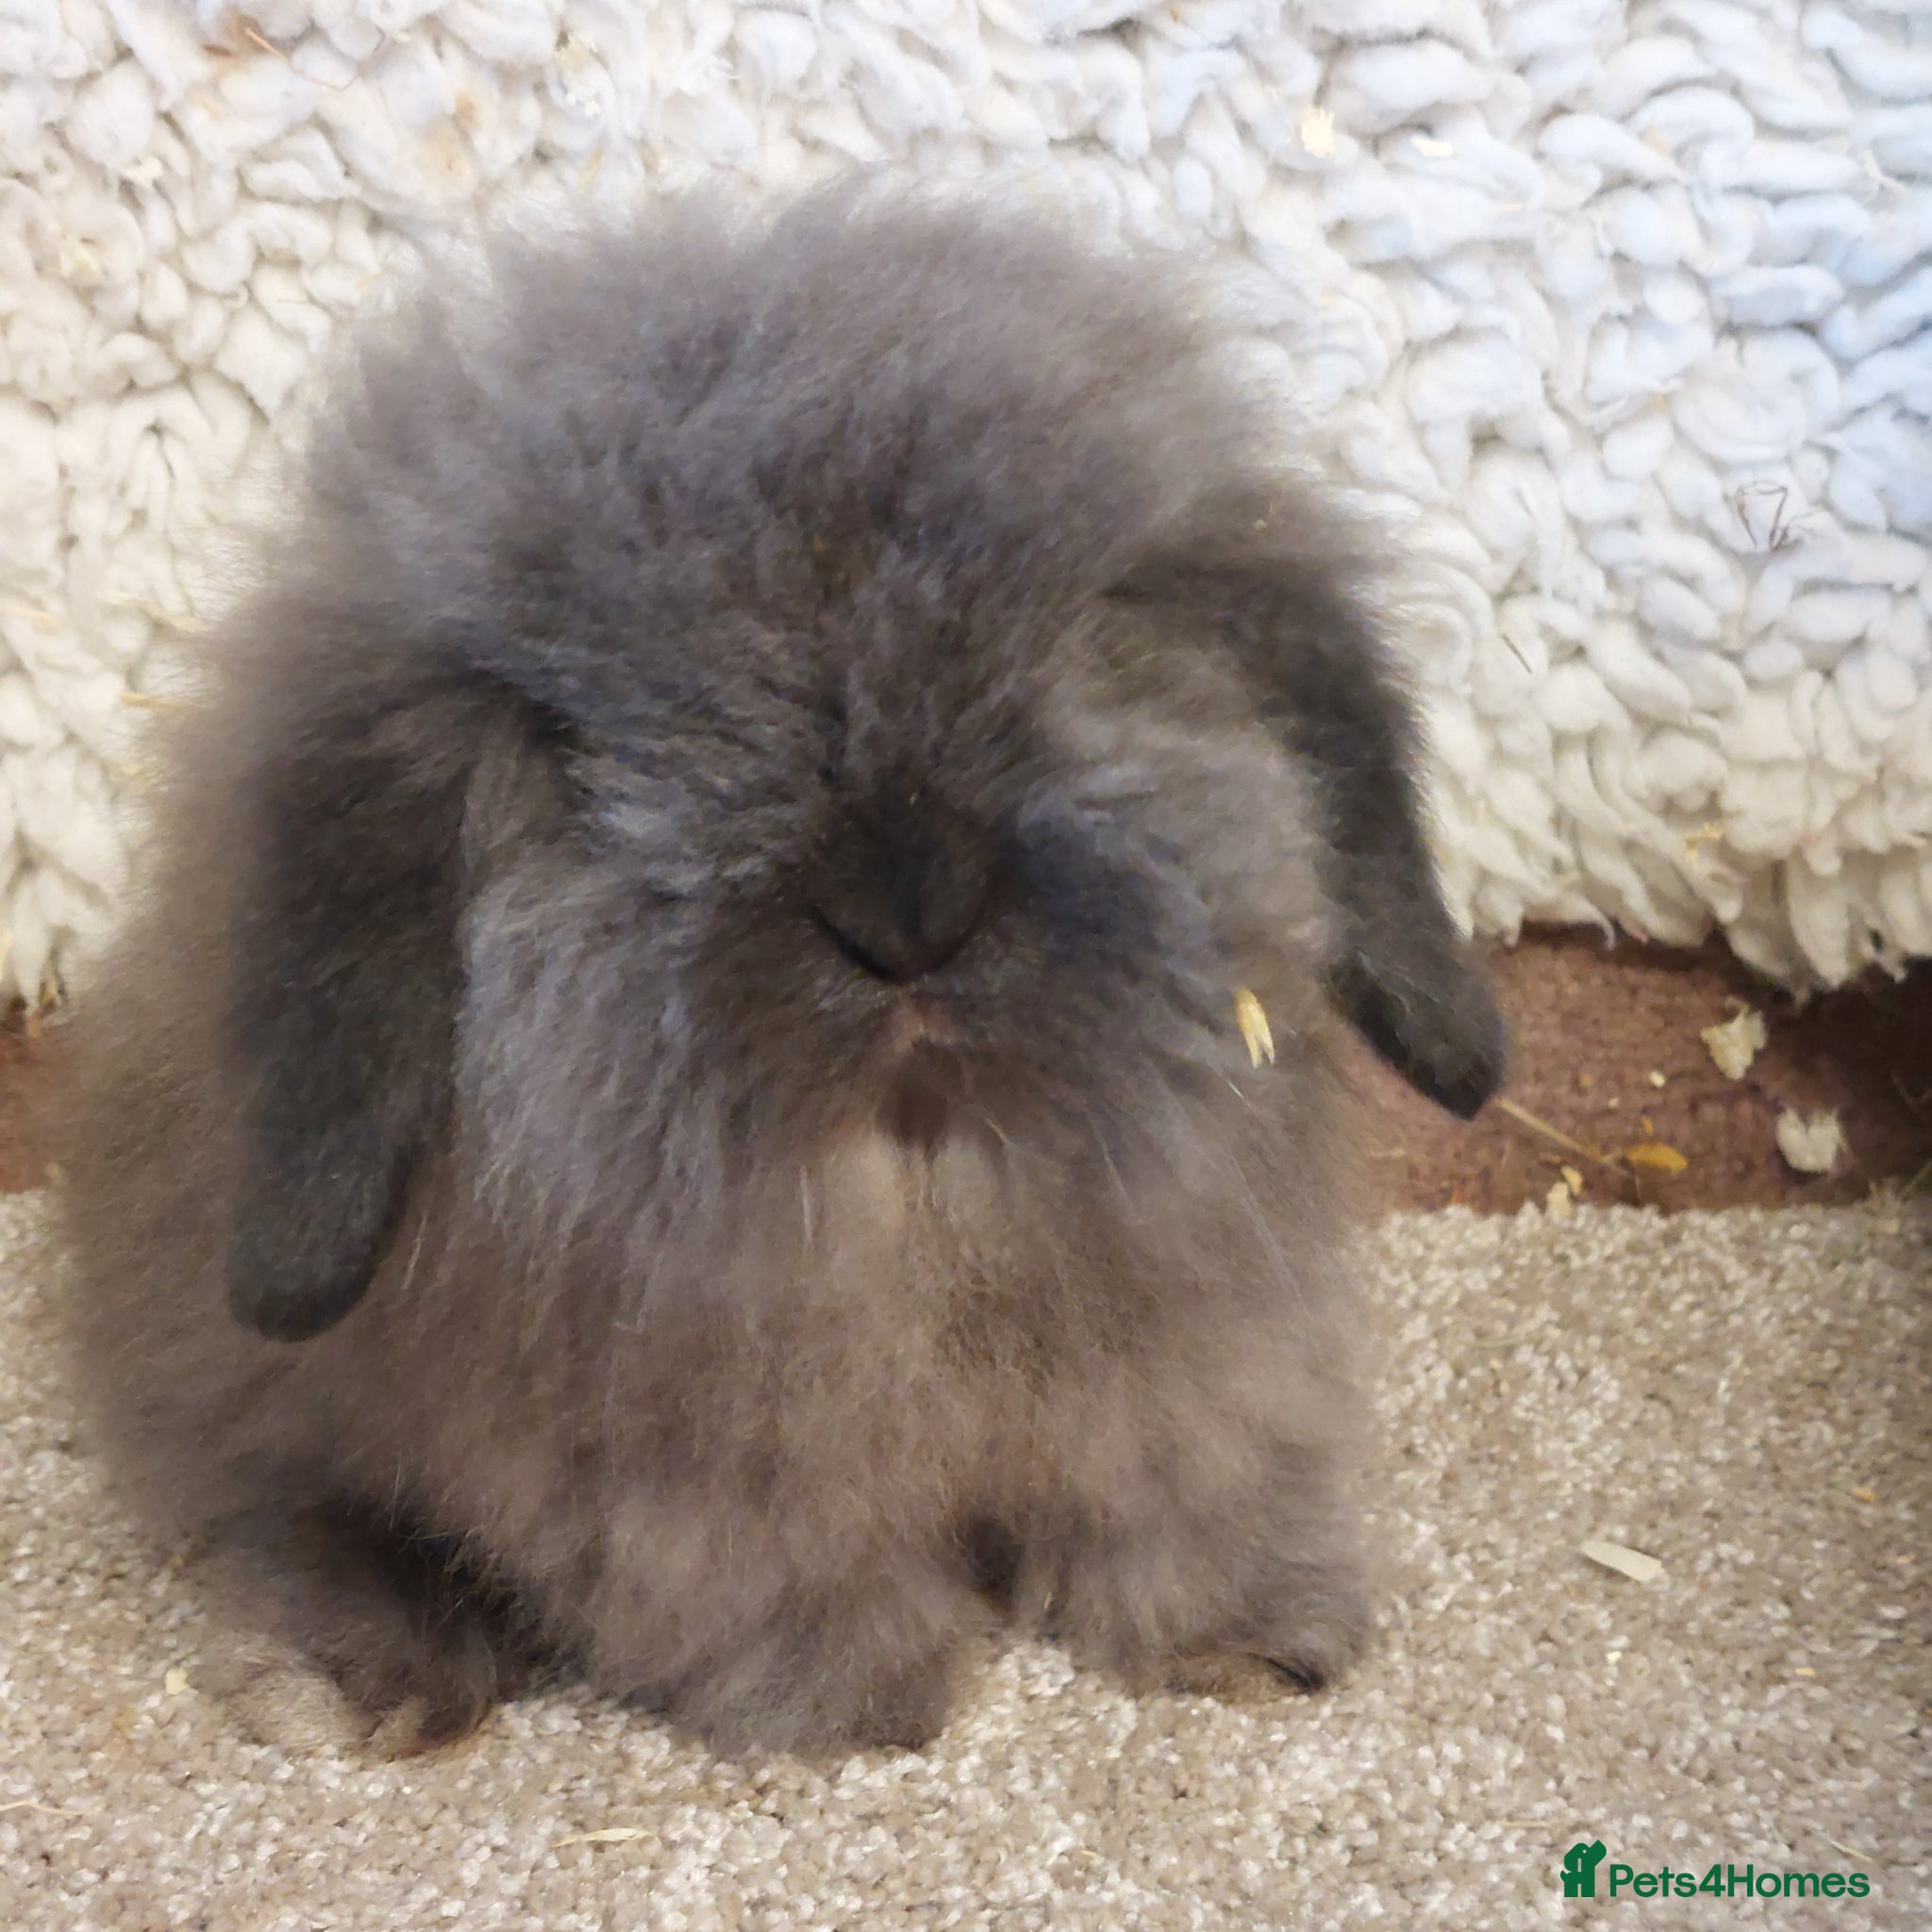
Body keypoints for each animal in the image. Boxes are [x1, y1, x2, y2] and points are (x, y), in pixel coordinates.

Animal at [48, 177, 1505, 1761]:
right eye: (581, 749)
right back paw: (368, 1682)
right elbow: (769, 1578)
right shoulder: (685, 1476)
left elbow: (1186, 1494)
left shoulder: (1208, 1365)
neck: (924, 1177)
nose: (909, 907)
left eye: (1099, 635)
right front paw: (869, 1703)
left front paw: (1252, 1646)